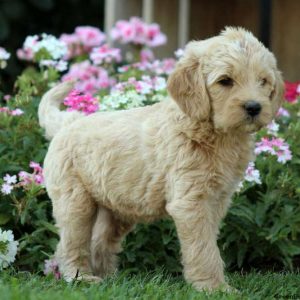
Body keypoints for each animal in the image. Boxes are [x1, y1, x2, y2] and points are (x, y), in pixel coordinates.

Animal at [39, 27, 284, 290]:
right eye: (225, 81)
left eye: (263, 81)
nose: (254, 107)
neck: (214, 134)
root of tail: (68, 122)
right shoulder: (191, 202)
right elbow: (204, 247)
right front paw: (214, 287)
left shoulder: (218, 199)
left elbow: (209, 243)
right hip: (75, 202)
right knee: (71, 244)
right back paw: (82, 278)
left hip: (115, 208)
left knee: (98, 241)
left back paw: (110, 280)